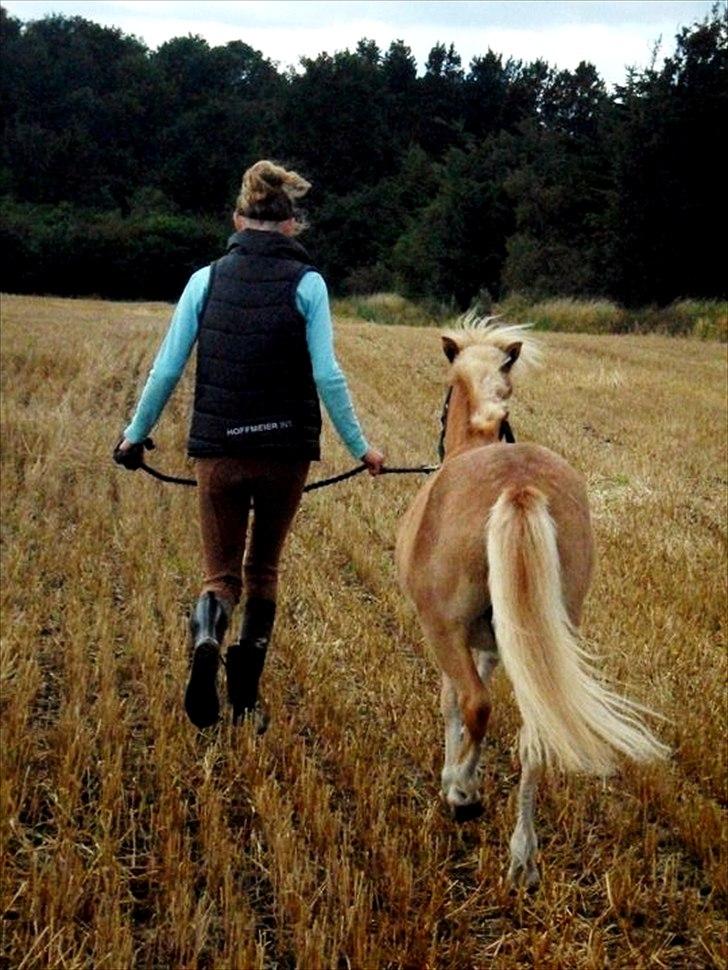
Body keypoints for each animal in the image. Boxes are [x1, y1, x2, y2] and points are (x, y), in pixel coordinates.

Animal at [396, 318, 668, 884]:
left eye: (444, 398)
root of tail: (520, 486)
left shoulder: (454, 636)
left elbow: (451, 702)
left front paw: (452, 776)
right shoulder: (496, 642)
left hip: (443, 627)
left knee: (476, 703)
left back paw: (463, 794)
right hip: (543, 635)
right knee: (536, 732)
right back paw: (522, 858)